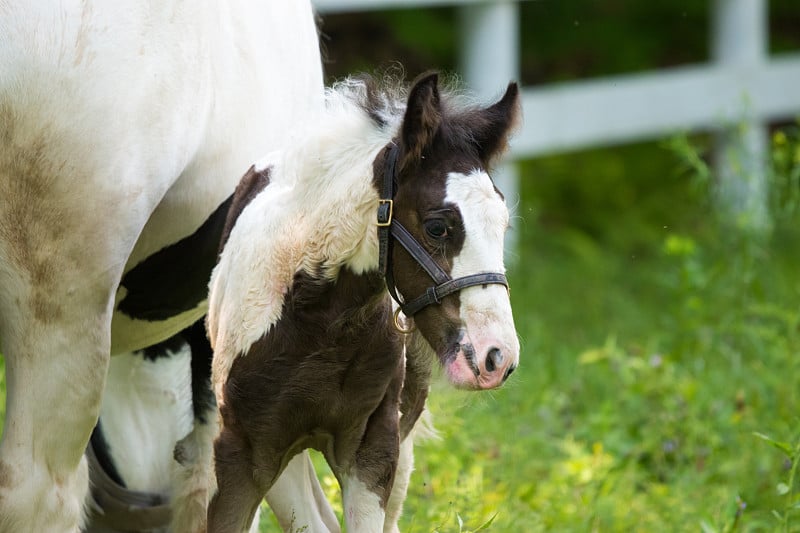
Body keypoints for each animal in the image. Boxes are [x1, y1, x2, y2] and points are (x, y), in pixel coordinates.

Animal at [203, 72, 520, 528]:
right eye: (438, 227)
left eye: (504, 225)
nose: (496, 357)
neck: (321, 322)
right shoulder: (241, 452)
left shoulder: (374, 449)